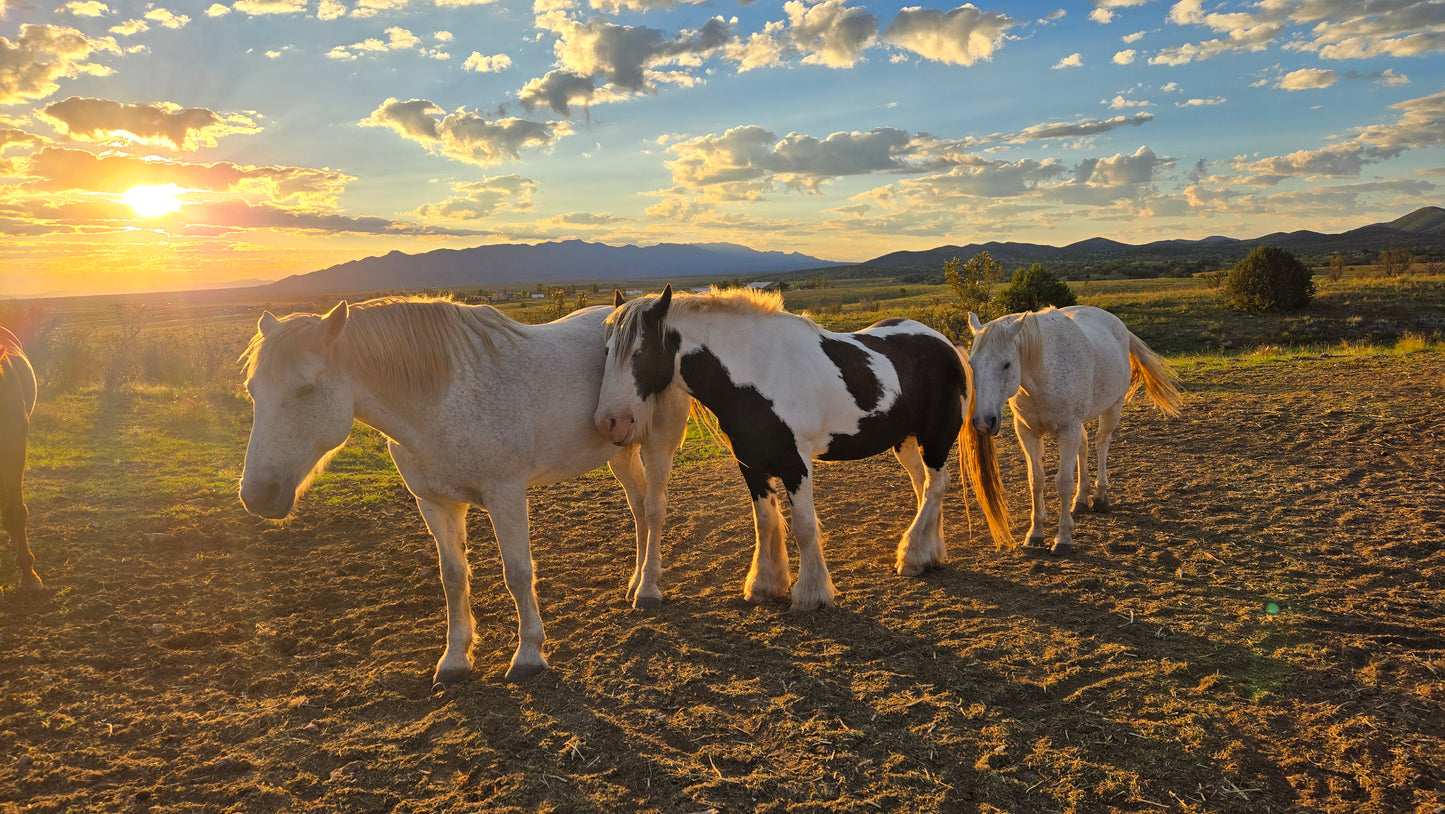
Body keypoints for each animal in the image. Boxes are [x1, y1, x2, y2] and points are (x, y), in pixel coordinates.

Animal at [238, 297, 690, 686]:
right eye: (252, 391)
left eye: (306, 389)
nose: (257, 495)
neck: (439, 401)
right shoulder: (435, 503)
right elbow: (453, 577)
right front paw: (455, 660)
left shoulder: (506, 495)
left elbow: (518, 573)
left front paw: (528, 655)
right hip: (621, 448)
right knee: (637, 507)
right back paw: (634, 582)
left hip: (658, 445)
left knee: (654, 508)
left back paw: (648, 590)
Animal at [594, 285, 1009, 611]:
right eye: (607, 350)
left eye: (639, 352)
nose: (609, 422)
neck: (757, 371)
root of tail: (947, 344)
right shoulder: (752, 465)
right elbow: (765, 522)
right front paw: (764, 585)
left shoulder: (797, 465)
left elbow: (804, 526)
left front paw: (811, 593)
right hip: (905, 442)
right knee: (925, 488)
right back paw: (928, 554)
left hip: (935, 438)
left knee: (936, 486)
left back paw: (910, 557)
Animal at [966, 305, 1183, 555]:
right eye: (971, 364)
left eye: (1006, 364)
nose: (984, 422)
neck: (1044, 372)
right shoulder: (1028, 432)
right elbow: (1036, 480)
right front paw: (1035, 533)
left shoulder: (1068, 429)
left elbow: (1063, 482)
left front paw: (1063, 538)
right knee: (1085, 446)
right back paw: (1080, 499)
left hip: (1112, 408)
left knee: (1101, 444)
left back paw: (1100, 497)